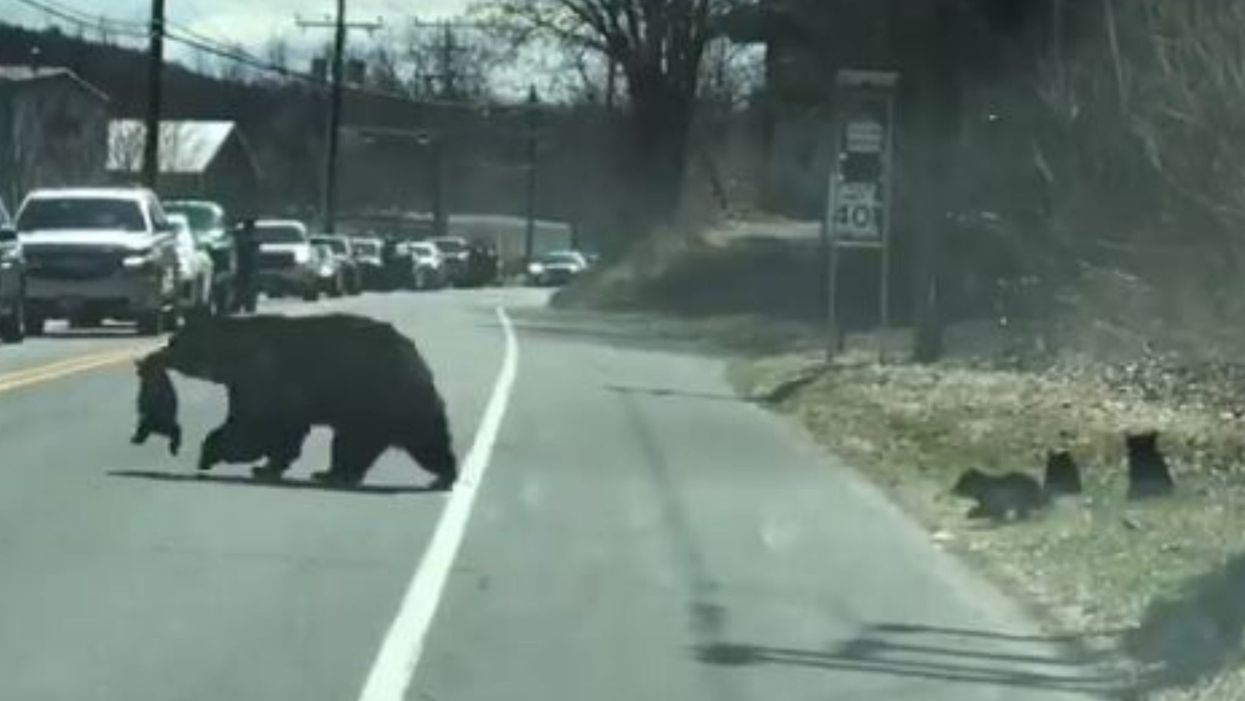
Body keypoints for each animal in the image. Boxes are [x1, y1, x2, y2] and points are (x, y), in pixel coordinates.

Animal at [148, 313, 458, 489]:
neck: (232, 354)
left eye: (174, 342)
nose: (155, 355)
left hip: (377, 397)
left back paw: (335, 474)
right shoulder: (253, 385)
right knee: (425, 441)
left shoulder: (263, 374)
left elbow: (254, 426)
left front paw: (211, 452)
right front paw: (268, 467)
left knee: (360, 442)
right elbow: (279, 432)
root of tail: (418, 360)